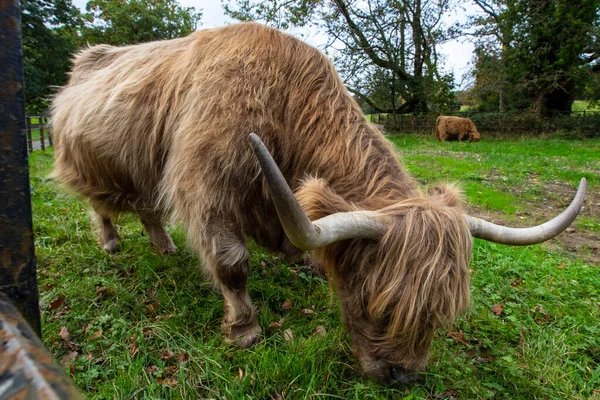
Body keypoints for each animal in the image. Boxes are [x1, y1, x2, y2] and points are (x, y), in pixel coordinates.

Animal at [51, 23, 584, 386]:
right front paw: (245, 329)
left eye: (442, 313)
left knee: (147, 208)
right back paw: (112, 242)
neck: (285, 103)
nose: (404, 377)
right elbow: (232, 263)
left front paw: (304, 265)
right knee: (101, 205)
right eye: (376, 304)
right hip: (89, 163)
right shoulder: (206, 188)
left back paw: (163, 246)